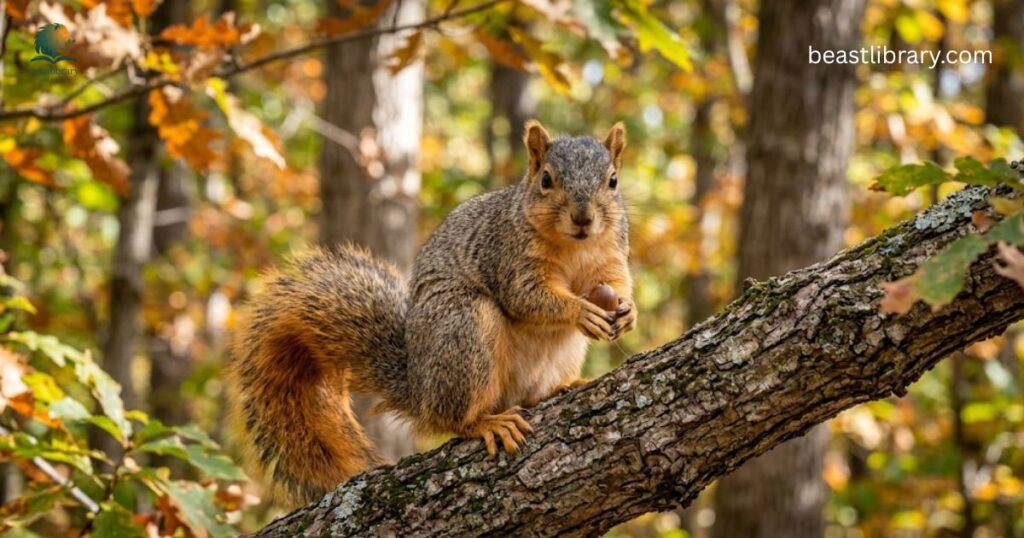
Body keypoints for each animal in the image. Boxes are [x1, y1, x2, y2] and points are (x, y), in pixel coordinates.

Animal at [226, 120, 637, 507]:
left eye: (613, 180)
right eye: (547, 179)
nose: (583, 217)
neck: (575, 247)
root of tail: (419, 388)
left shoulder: (611, 256)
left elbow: (617, 282)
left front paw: (628, 312)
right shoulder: (509, 256)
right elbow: (526, 297)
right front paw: (579, 310)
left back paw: (563, 386)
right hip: (466, 328)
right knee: (452, 416)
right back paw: (485, 423)